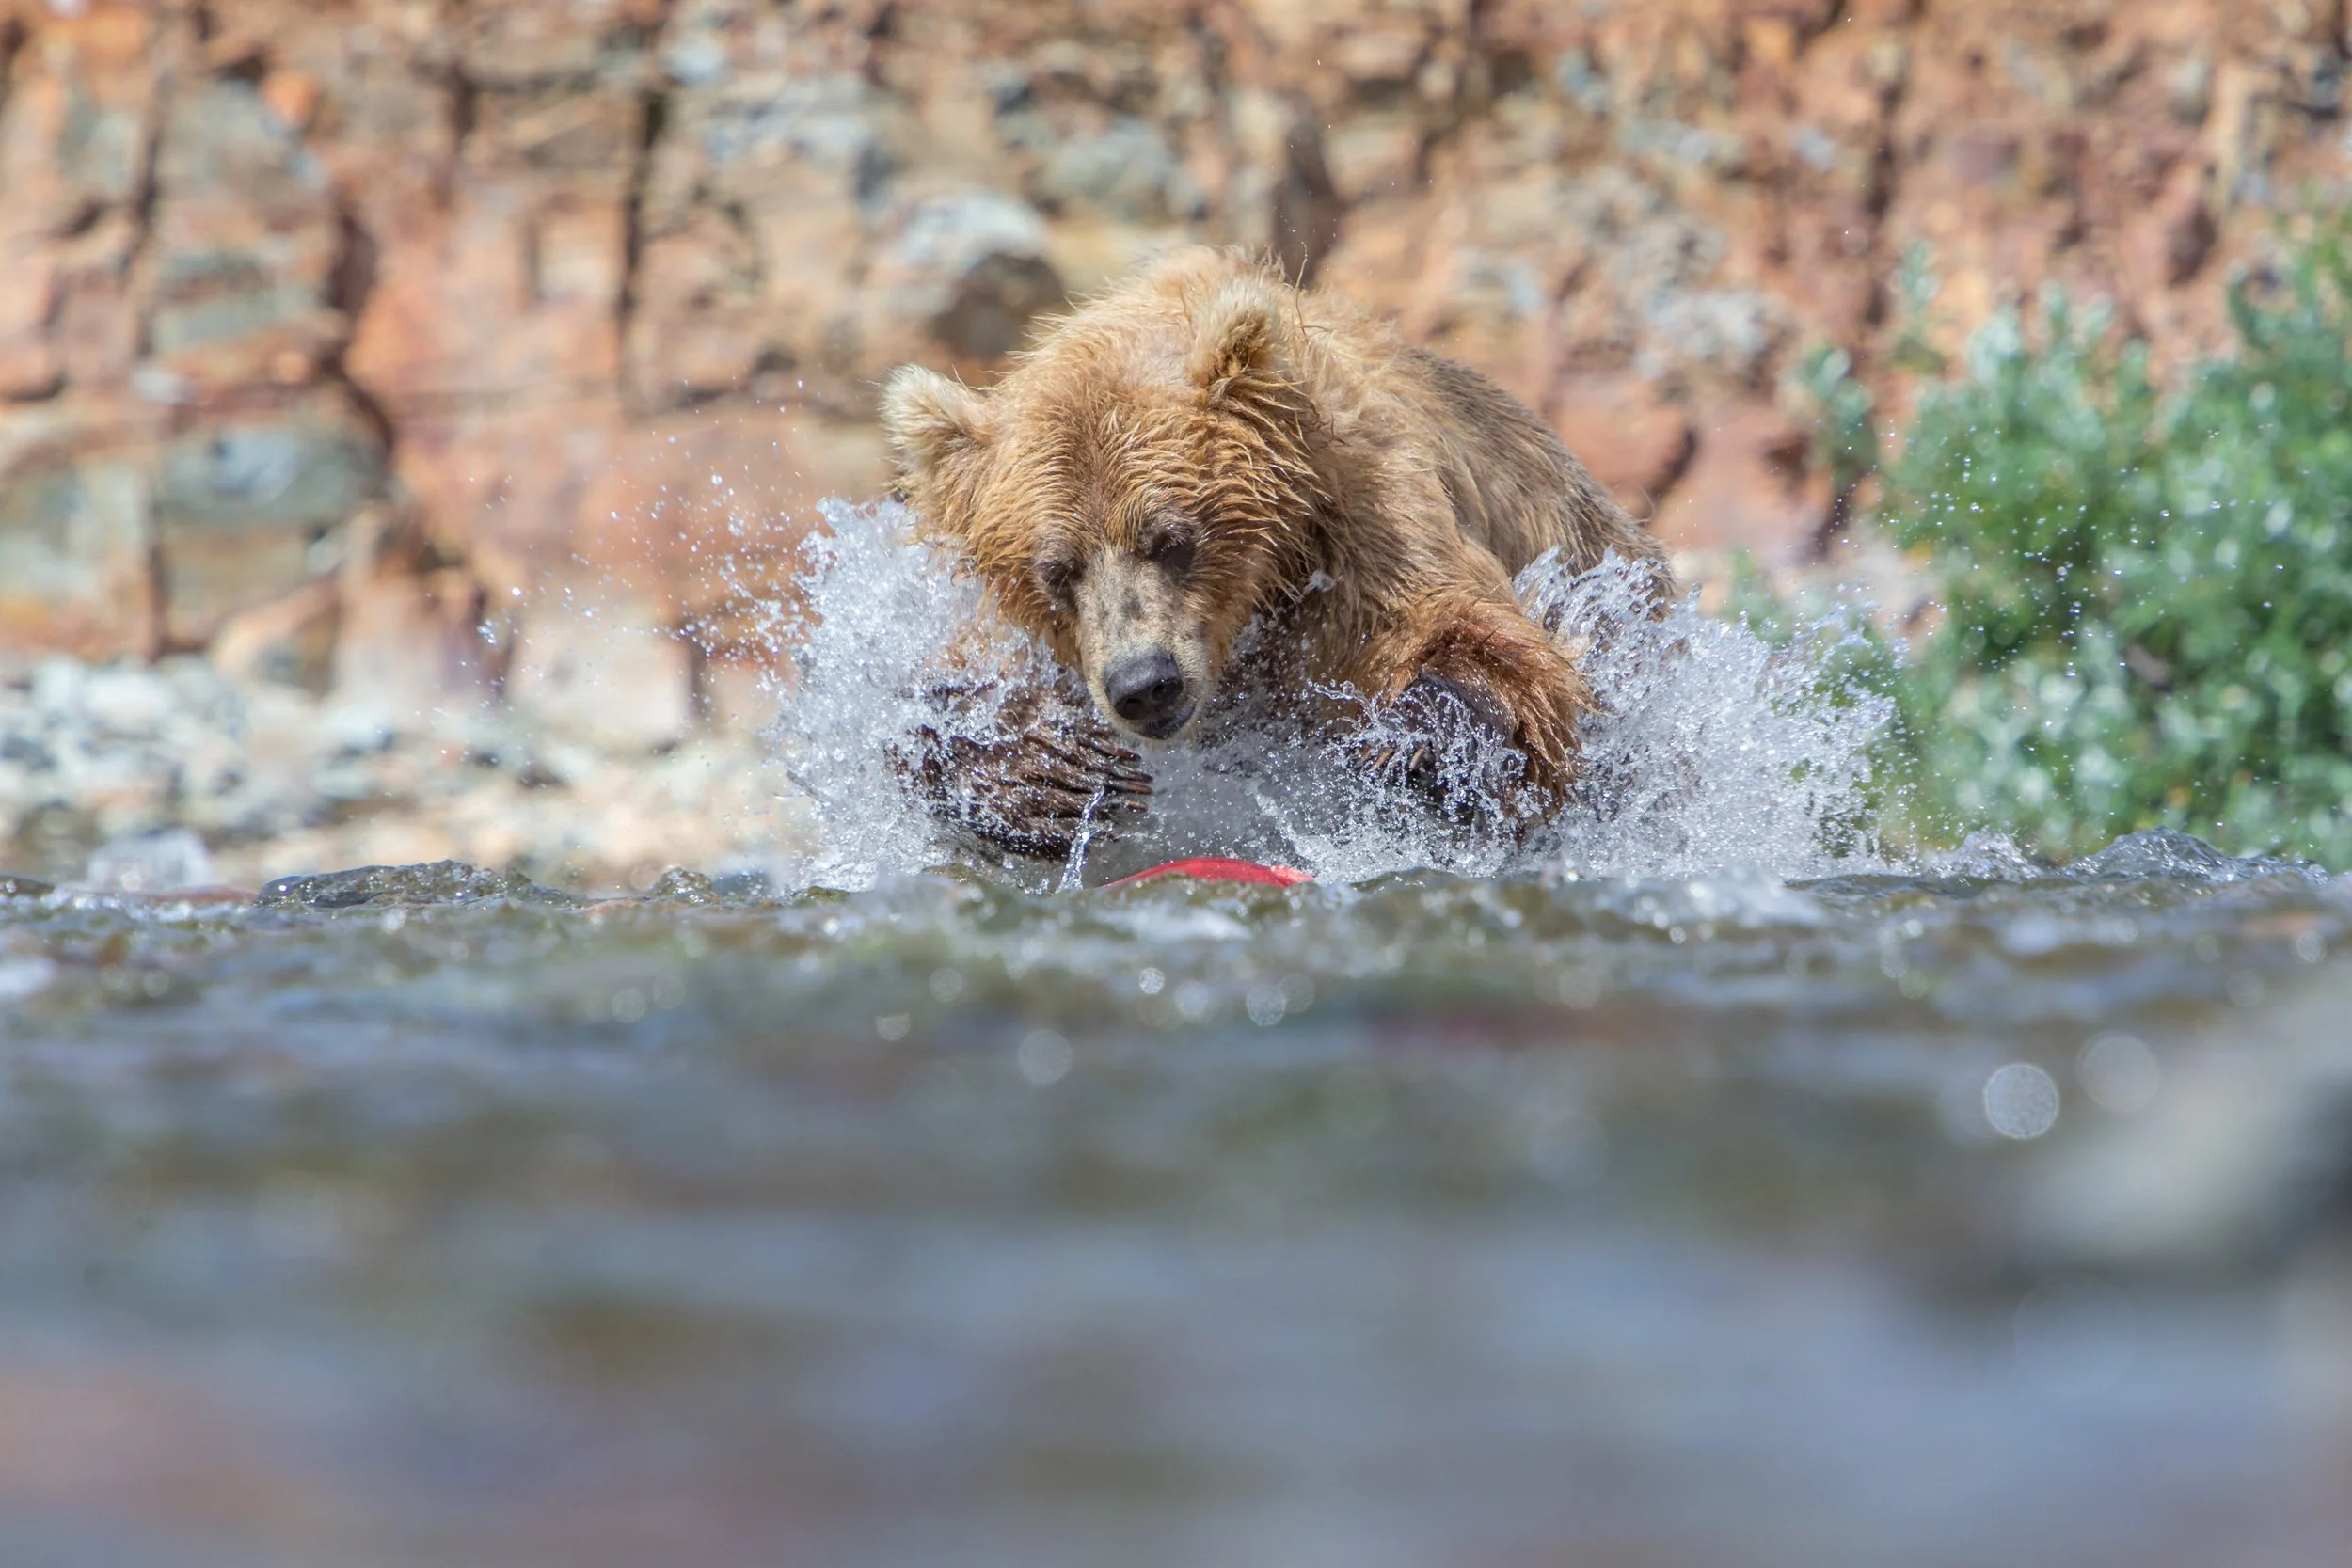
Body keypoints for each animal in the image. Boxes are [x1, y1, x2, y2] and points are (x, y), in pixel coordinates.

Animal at [879, 246, 1673, 860]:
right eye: (1055, 569)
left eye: (1172, 538)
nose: (1145, 684)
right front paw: (1049, 771)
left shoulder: (1369, 523)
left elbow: (1482, 646)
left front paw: (1412, 743)